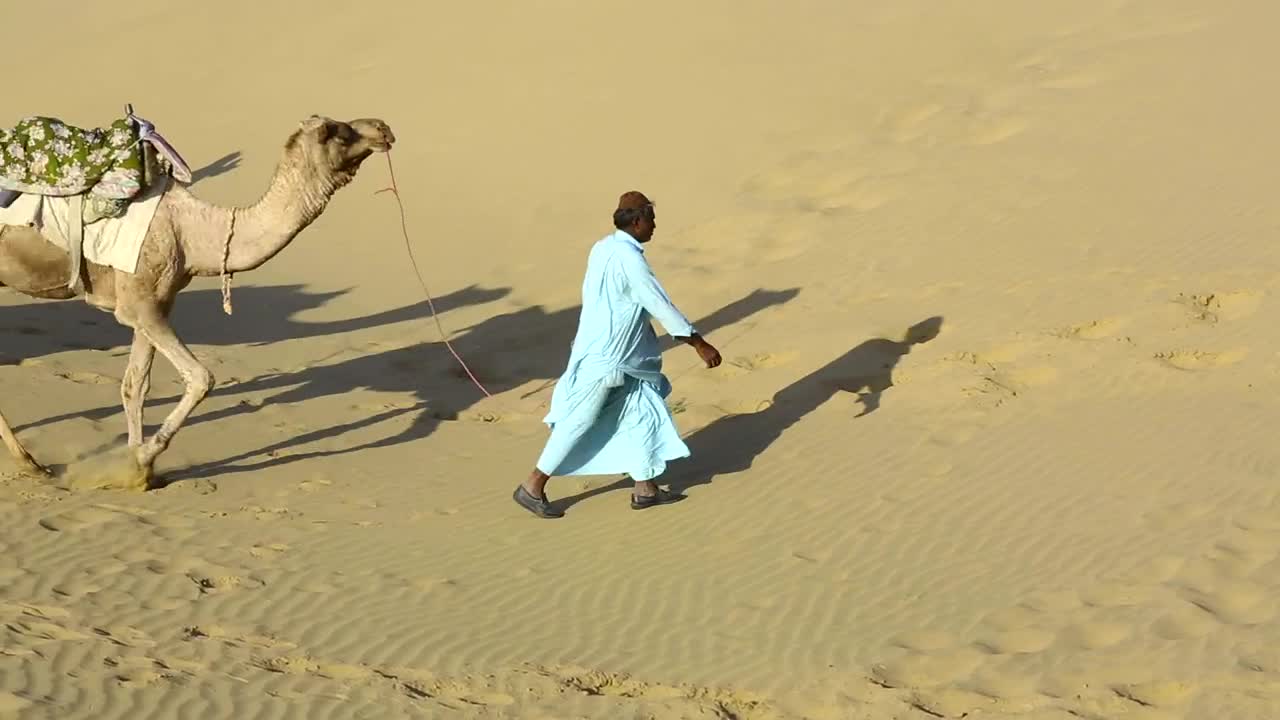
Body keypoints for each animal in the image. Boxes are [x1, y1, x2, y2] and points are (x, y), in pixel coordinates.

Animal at [0, 115, 395, 487]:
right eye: (337, 132)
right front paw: (142, 460)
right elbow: (202, 378)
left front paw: (135, 471)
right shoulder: (138, 303)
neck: (194, 233)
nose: (383, 128)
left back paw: (31, 463)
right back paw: (31, 464)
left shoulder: (156, 301)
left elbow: (135, 385)